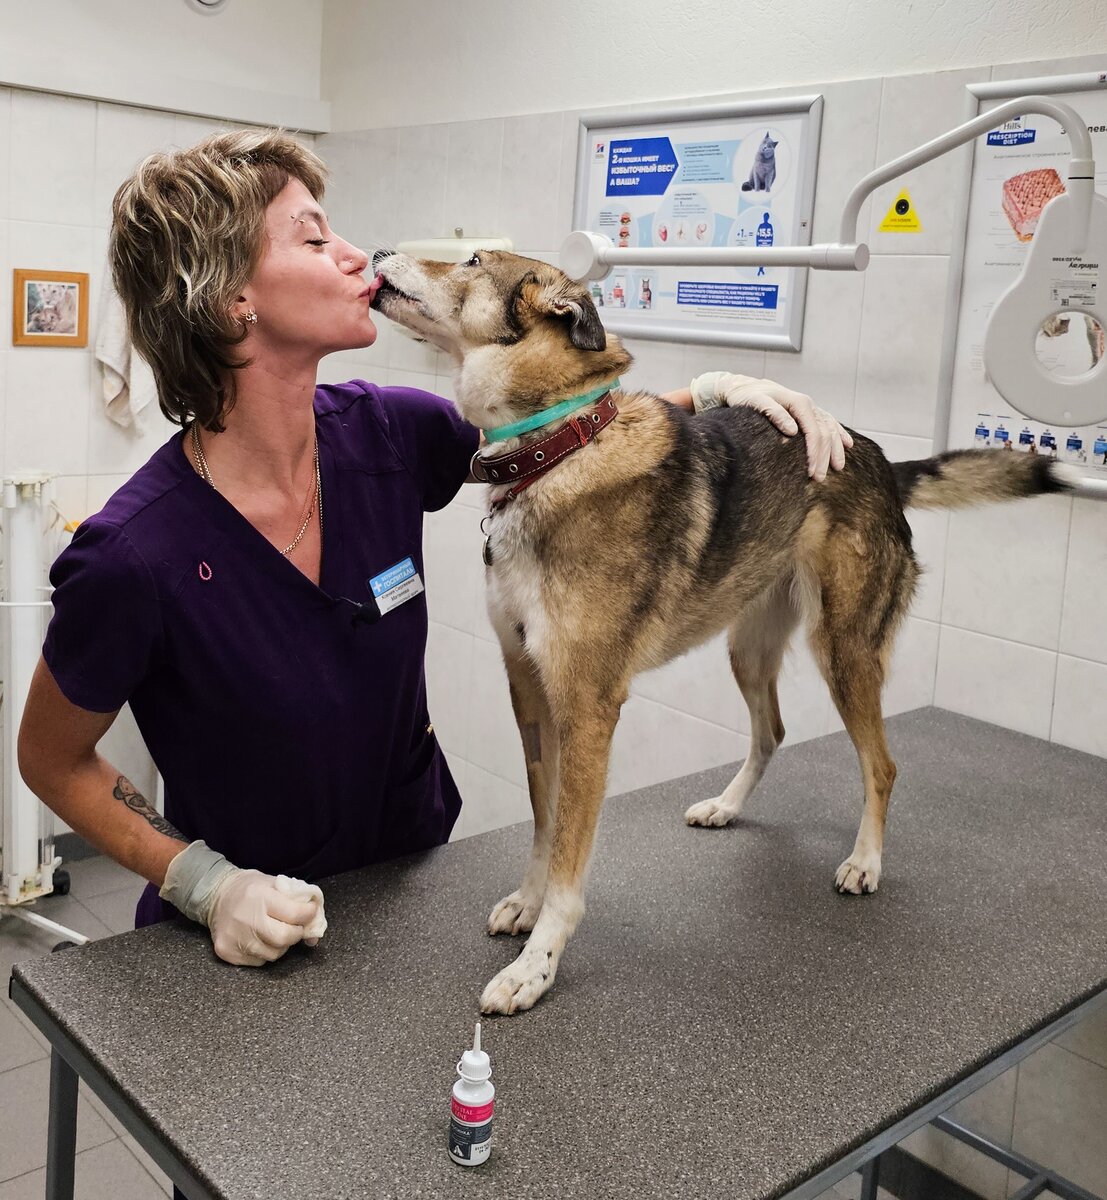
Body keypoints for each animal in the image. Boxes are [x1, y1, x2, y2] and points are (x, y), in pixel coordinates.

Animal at [372, 248, 1070, 1017]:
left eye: (471, 259)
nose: (376, 253)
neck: (557, 449)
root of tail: (881, 460)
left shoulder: (587, 710)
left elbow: (568, 863)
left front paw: (536, 967)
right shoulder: (528, 687)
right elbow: (542, 824)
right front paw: (526, 907)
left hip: (844, 652)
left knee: (881, 766)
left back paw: (864, 862)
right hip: (747, 649)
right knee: (772, 732)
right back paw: (727, 807)